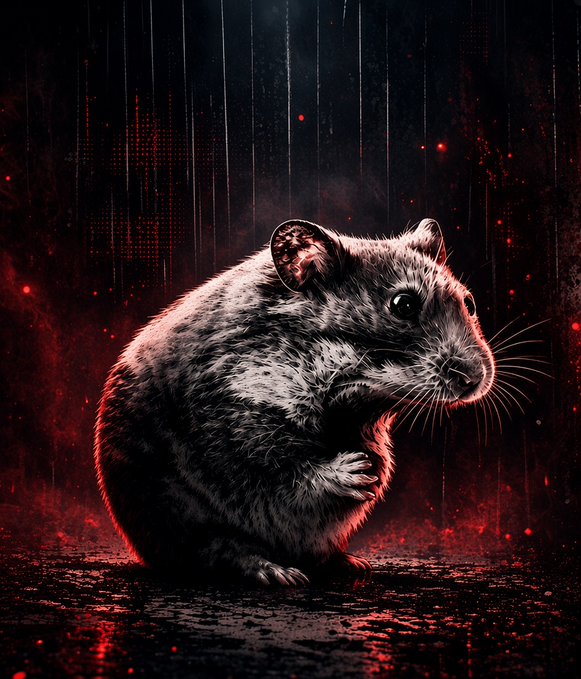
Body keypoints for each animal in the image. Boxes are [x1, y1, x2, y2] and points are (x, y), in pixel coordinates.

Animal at [94, 218, 495, 585]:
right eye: (403, 305)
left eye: (470, 302)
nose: (475, 379)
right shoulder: (235, 414)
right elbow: (289, 470)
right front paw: (358, 471)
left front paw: (376, 472)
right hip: (179, 515)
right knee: (219, 551)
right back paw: (278, 572)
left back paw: (351, 564)